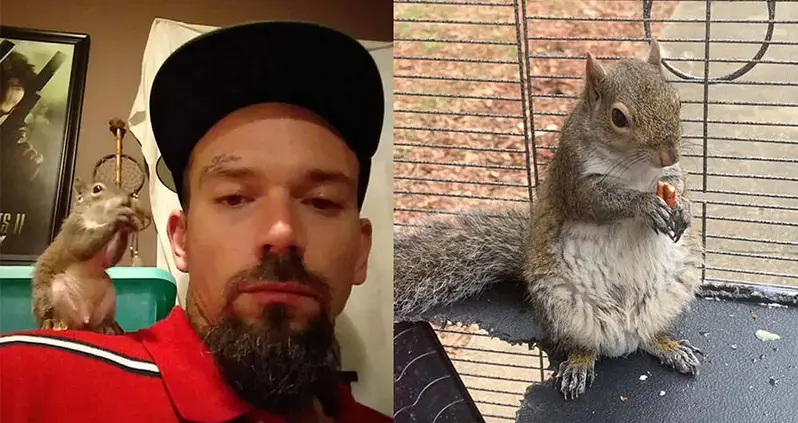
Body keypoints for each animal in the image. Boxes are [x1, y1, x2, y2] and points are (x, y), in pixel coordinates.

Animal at [31, 177, 151, 335]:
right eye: (97, 189)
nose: (126, 200)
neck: (97, 220)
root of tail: (85, 321)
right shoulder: (73, 230)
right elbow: (81, 246)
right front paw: (116, 218)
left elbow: (109, 259)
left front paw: (128, 225)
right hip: (56, 294)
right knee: (58, 317)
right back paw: (53, 323)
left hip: (108, 298)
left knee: (99, 323)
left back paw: (108, 326)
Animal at [393, 40, 704, 400]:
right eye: (618, 117)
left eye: (677, 101)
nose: (670, 154)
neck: (635, 168)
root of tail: (624, 334)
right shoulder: (574, 175)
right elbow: (597, 202)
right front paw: (644, 205)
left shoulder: (668, 176)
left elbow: (678, 183)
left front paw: (683, 208)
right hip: (562, 306)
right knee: (582, 345)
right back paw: (579, 365)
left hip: (671, 292)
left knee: (648, 337)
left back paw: (669, 346)